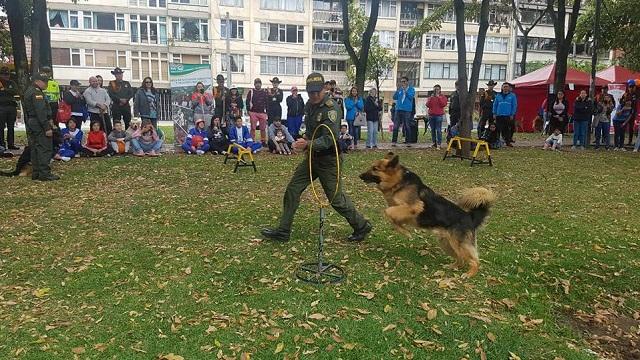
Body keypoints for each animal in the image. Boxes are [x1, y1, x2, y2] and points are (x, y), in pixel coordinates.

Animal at [360, 153, 496, 278]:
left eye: (375, 168)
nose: (360, 176)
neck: (399, 182)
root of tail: (470, 217)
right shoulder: (402, 211)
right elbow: (393, 217)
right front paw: (403, 230)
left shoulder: (415, 206)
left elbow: (387, 211)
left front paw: (406, 233)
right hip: (446, 244)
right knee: (461, 259)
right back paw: (452, 266)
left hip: (459, 244)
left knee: (474, 261)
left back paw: (469, 274)